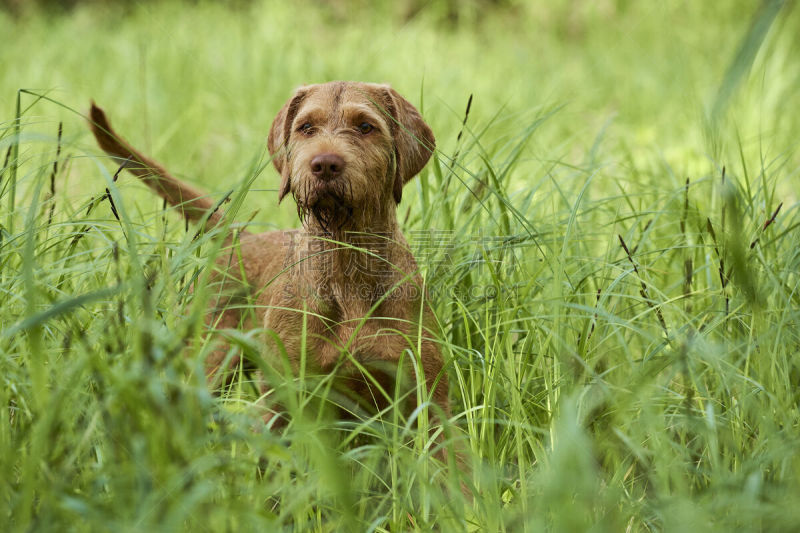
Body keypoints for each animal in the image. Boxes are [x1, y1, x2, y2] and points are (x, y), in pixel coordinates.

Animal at [89, 83, 450, 430]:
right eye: (306, 127)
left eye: (365, 126)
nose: (325, 164)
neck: (347, 259)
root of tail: (241, 236)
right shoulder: (285, 396)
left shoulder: (429, 399)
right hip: (208, 361)